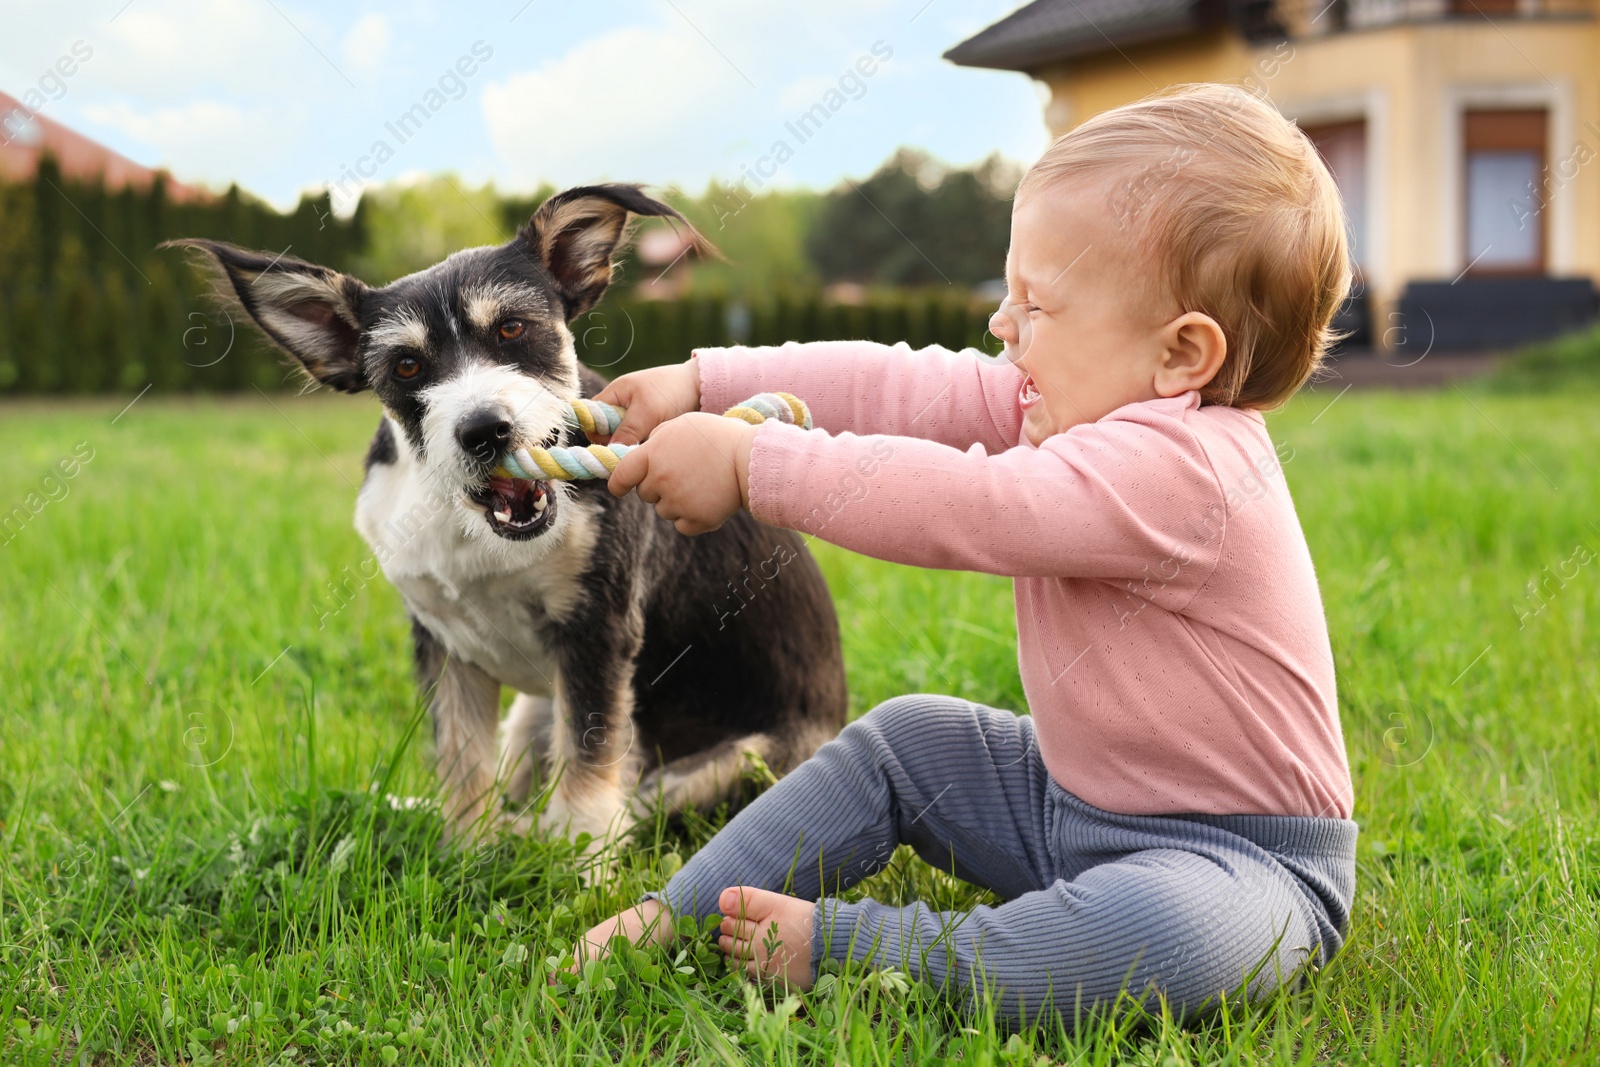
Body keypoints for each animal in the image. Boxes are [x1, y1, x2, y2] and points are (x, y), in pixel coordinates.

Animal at [173, 185, 851, 851]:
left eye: (513, 328)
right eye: (407, 366)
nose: (485, 431)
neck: (472, 531)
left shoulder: (597, 631)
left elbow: (589, 765)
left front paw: (581, 865)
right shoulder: (444, 645)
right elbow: (463, 763)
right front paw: (466, 852)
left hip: (735, 761)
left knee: (632, 807)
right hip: (532, 715)